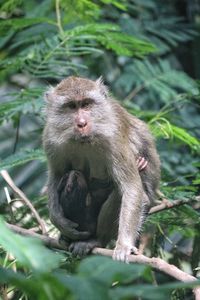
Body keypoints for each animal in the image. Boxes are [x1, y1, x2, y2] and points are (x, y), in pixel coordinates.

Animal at [43, 76, 160, 262]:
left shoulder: (114, 138)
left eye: (86, 104)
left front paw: (124, 244)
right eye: (71, 106)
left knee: (121, 194)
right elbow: (56, 174)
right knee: (71, 177)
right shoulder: (50, 138)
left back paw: (96, 240)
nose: (81, 123)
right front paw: (57, 219)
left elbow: (132, 189)